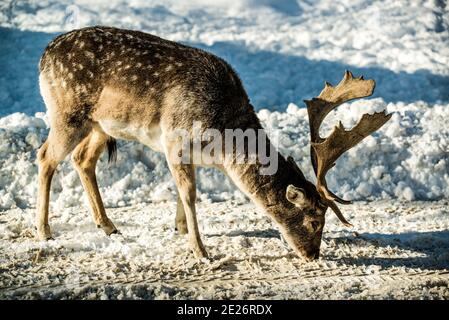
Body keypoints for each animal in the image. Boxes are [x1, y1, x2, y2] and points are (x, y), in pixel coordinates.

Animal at [36, 26, 390, 262]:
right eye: (315, 220)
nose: (313, 255)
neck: (222, 147)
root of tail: (44, 55)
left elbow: (183, 194)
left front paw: (179, 229)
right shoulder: (175, 141)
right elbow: (191, 195)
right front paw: (201, 251)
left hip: (100, 125)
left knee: (82, 159)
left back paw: (108, 226)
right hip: (67, 113)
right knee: (45, 157)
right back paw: (44, 231)